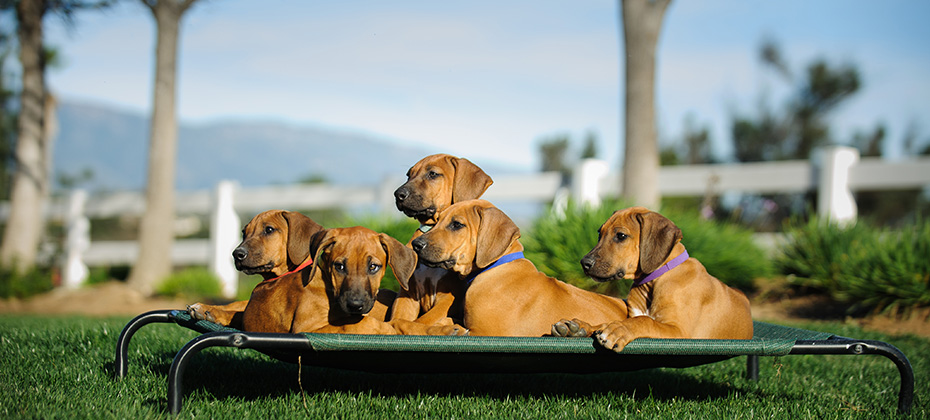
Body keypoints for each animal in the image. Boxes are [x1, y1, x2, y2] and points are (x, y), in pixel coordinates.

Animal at [386, 154, 490, 334]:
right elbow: (398, 318)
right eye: (408, 175)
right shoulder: (408, 294)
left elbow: (421, 321)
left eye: (433, 174)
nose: (398, 194)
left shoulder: (449, 297)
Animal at [552, 207, 752, 352]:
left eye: (621, 236)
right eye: (600, 234)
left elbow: (644, 321)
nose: (584, 263)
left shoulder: (680, 331)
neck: (654, 280)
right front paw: (580, 326)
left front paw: (618, 330)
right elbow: (611, 321)